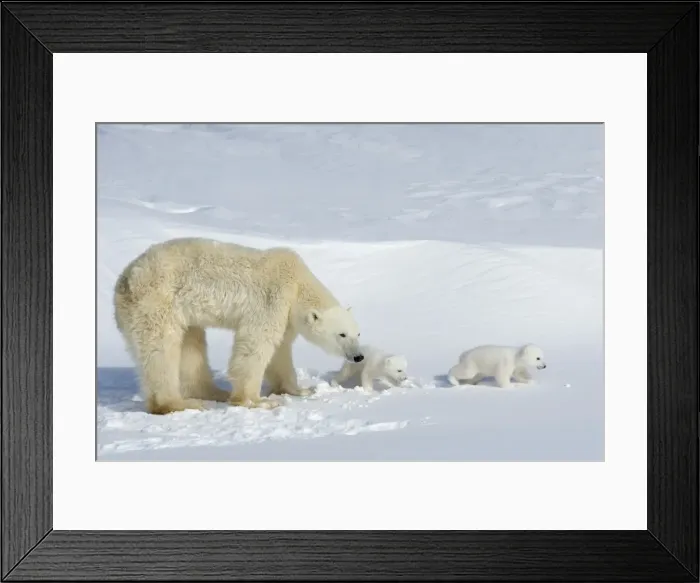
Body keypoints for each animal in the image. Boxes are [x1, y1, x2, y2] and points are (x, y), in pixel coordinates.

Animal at [113, 237, 364, 415]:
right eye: (342, 335)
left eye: (358, 333)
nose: (358, 356)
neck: (297, 282)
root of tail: (124, 280)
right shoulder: (272, 298)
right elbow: (256, 343)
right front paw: (256, 401)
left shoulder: (285, 315)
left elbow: (280, 351)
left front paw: (300, 389)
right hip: (155, 302)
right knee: (162, 351)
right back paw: (179, 404)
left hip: (180, 313)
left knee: (191, 345)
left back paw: (213, 392)